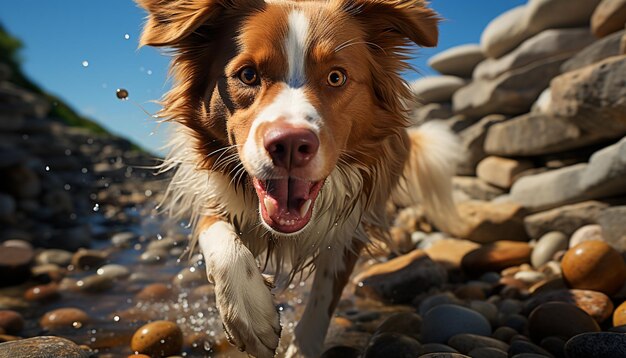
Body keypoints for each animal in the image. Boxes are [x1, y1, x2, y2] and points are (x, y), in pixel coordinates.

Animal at [136, 1, 458, 356]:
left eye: (336, 77)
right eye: (247, 75)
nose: (289, 145)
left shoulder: (353, 221)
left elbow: (324, 295)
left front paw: (301, 346)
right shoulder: (215, 191)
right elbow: (218, 234)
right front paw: (249, 311)